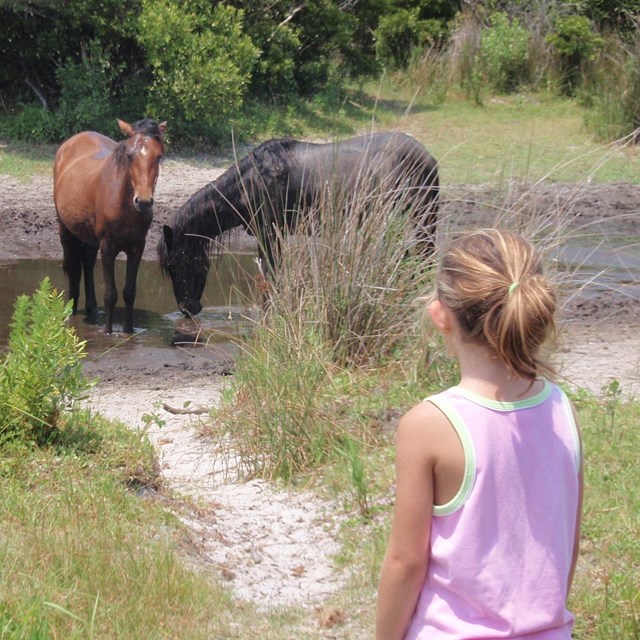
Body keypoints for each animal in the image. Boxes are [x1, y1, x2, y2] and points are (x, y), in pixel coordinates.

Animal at [53, 117, 166, 332]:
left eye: (159, 157)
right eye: (130, 156)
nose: (143, 201)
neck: (125, 205)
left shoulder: (137, 247)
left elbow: (129, 292)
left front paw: (129, 331)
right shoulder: (108, 246)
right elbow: (110, 294)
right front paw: (107, 332)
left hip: (89, 237)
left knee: (87, 262)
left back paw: (91, 308)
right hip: (65, 230)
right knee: (71, 267)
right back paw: (70, 308)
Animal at [158, 131, 438, 316]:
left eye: (175, 263)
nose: (187, 309)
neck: (252, 181)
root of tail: (427, 156)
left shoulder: (270, 235)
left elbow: (271, 277)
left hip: (420, 218)